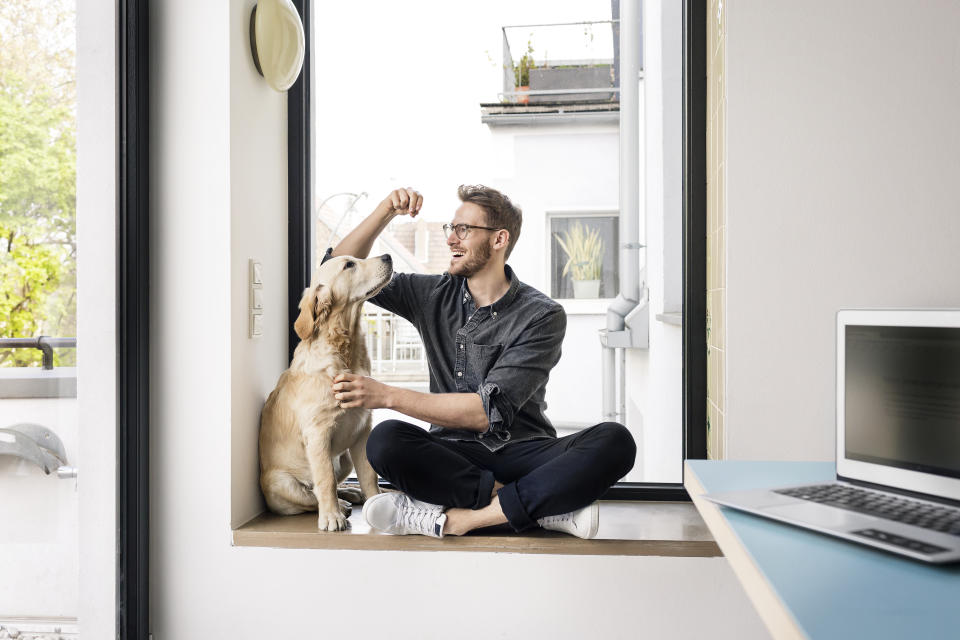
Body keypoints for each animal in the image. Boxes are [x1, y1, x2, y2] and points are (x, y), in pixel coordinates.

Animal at [258, 252, 394, 528]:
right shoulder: (318, 434)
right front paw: (331, 516)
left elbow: (369, 475)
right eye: (349, 264)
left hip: (345, 459)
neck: (345, 351)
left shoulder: (363, 429)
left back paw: (351, 492)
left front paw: (375, 502)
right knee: (310, 497)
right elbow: (325, 480)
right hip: (280, 482)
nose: (388, 256)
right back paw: (340, 505)